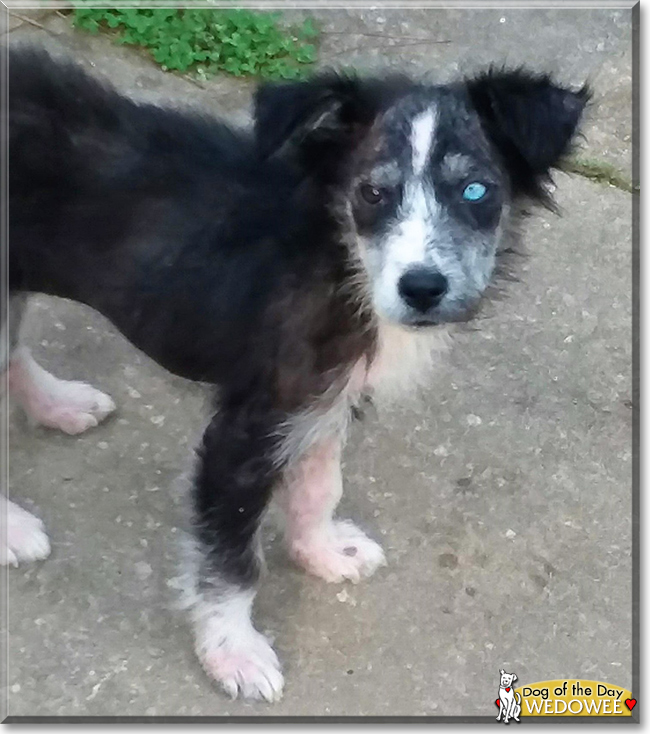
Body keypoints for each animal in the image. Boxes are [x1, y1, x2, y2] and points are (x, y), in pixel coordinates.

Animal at [2, 44, 588, 700]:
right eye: (373, 193)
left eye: (476, 191)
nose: (422, 289)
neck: (336, 254)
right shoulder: (245, 430)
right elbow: (232, 559)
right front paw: (233, 652)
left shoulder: (325, 401)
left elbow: (318, 484)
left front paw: (322, 551)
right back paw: (12, 528)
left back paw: (57, 404)